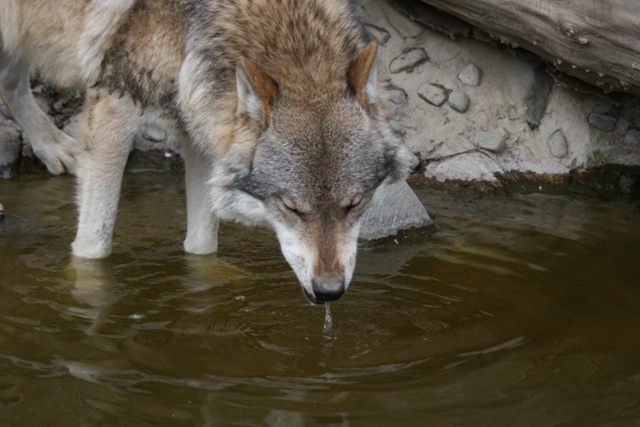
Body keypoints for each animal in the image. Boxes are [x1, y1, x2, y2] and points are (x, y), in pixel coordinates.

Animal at [0, 1, 416, 306]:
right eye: (291, 208)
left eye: (354, 205)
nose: (329, 292)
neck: (198, 19)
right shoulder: (115, 103)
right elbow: (94, 244)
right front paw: (87, 293)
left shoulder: (199, 125)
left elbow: (202, 243)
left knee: (11, 82)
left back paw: (53, 147)